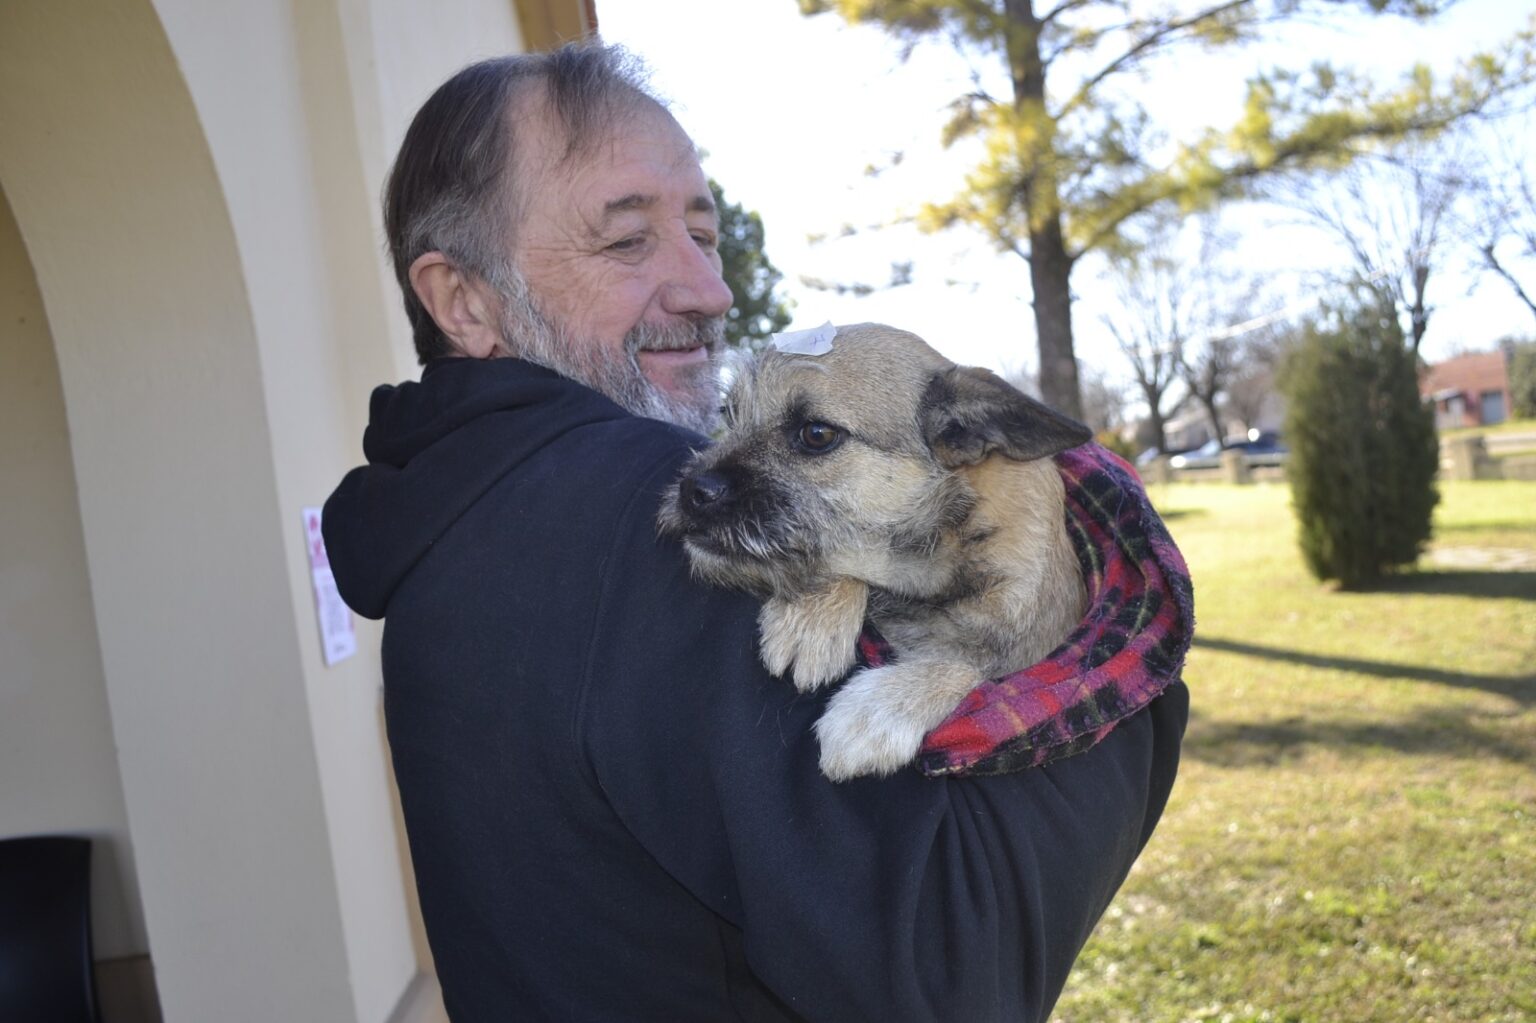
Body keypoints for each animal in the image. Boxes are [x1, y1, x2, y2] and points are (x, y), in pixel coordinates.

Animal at [657, 323, 1092, 781]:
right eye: (729, 413)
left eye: (816, 434)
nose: (693, 491)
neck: (954, 544)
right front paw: (812, 621)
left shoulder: (1030, 650)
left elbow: (977, 669)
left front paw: (880, 709)